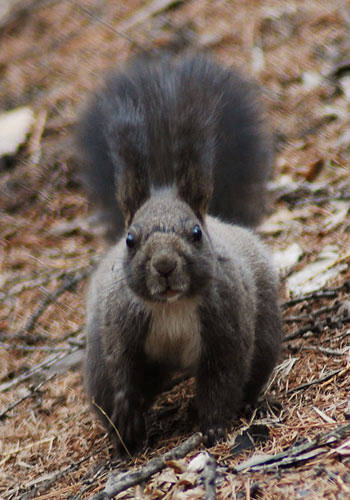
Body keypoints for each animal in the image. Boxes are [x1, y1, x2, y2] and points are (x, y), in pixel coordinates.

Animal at [78, 53, 284, 454]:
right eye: (130, 239)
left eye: (195, 233)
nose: (164, 265)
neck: (171, 308)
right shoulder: (121, 328)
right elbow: (123, 374)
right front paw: (129, 422)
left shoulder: (226, 326)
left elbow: (222, 379)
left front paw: (213, 427)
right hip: (98, 359)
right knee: (108, 390)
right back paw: (120, 438)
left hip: (265, 328)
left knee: (253, 371)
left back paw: (252, 402)